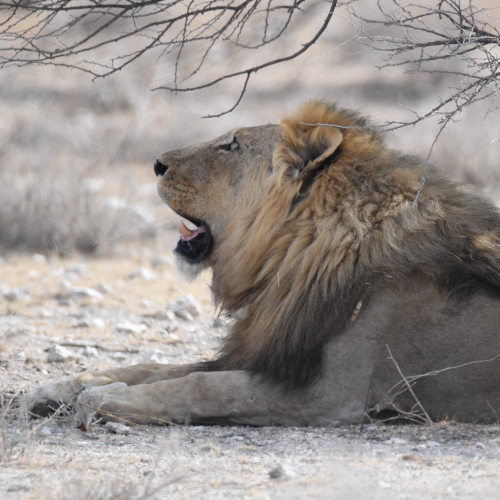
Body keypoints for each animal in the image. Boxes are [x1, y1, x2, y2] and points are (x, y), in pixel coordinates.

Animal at [26, 100, 500, 426]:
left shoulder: (330, 390)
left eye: (231, 144)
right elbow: (153, 367)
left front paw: (107, 399)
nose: (156, 164)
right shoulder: (267, 347)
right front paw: (55, 388)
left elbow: (202, 387)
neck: (288, 259)